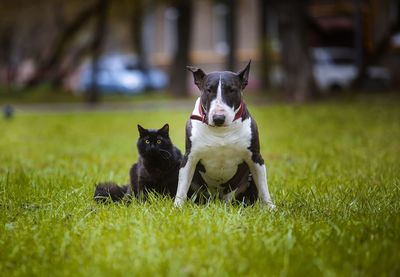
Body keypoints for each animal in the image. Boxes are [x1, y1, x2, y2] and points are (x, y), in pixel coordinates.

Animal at [173, 59, 276, 207]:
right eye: (208, 90)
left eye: (232, 90)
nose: (218, 118)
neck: (221, 131)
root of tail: (218, 199)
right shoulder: (189, 158)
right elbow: (181, 187)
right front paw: (177, 207)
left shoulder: (255, 158)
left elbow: (263, 187)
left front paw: (269, 207)